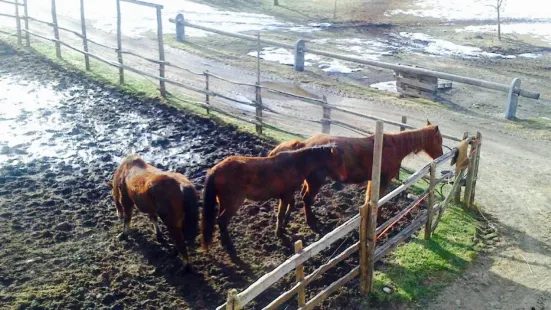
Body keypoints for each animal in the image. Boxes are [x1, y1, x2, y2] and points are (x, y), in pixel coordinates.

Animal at [201, 144, 348, 256]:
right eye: (337, 161)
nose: (342, 178)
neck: (296, 164)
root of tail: (215, 170)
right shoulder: (285, 195)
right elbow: (280, 213)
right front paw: (279, 231)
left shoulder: (287, 195)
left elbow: (291, 206)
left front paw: (284, 226)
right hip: (234, 202)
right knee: (222, 220)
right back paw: (230, 246)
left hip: (223, 201)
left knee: (220, 220)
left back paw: (224, 242)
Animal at [270, 120, 446, 232]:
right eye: (439, 139)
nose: (441, 155)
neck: (393, 147)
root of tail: (305, 145)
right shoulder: (383, 180)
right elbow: (379, 199)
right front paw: (378, 218)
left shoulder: (373, 180)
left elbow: (369, 198)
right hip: (316, 181)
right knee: (307, 199)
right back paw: (311, 222)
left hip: (310, 181)